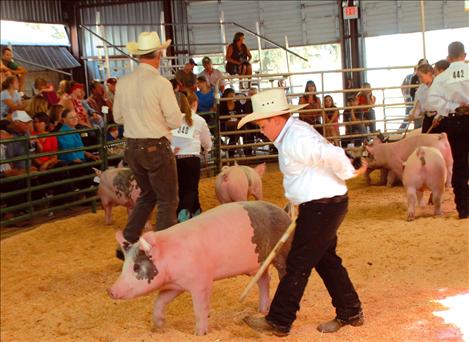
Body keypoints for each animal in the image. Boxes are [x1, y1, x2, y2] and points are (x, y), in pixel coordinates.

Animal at [109, 202, 292, 336]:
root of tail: (285, 213)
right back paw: (261, 310)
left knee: (281, 274)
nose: (110, 290)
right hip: (259, 264)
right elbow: (159, 302)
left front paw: (200, 334)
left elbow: (199, 309)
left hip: (282, 252)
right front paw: (159, 327)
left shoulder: (202, 282)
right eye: (125, 265)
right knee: (265, 280)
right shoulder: (175, 286)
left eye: (136, 266)